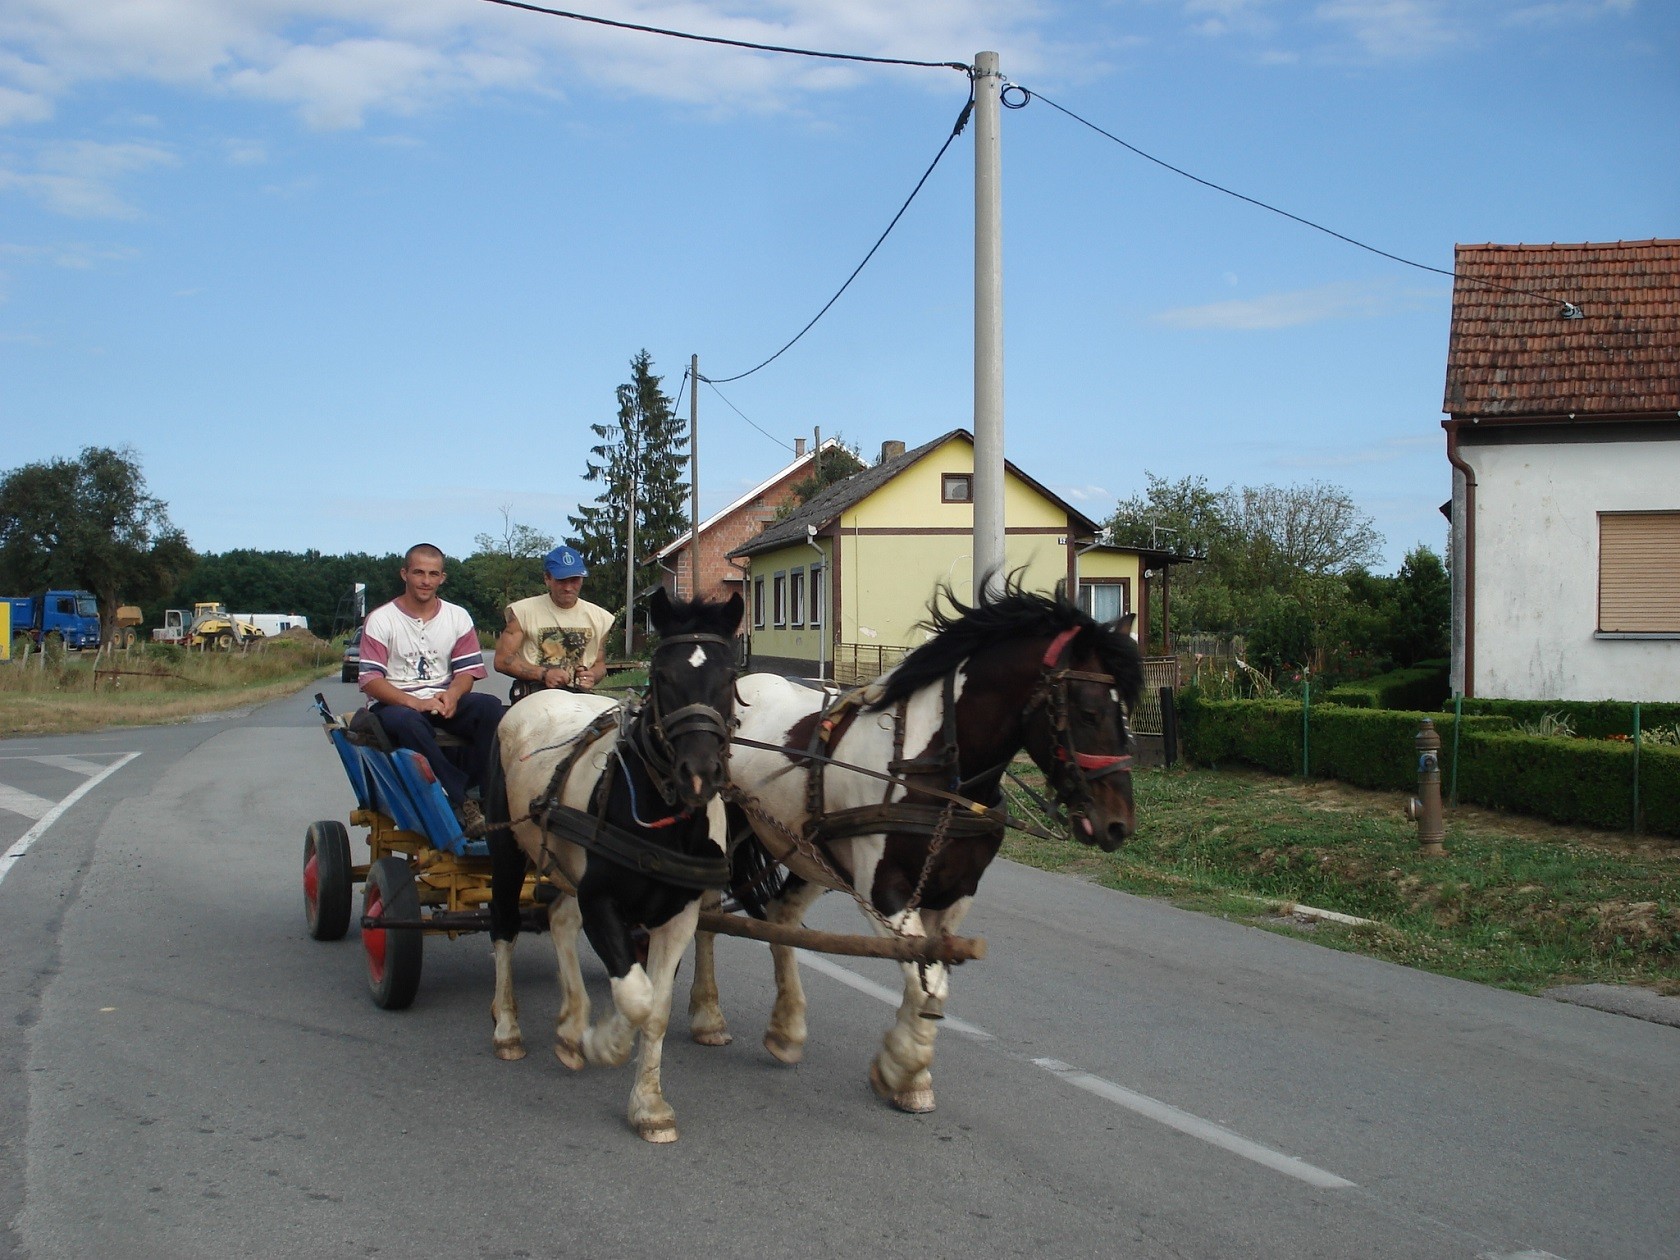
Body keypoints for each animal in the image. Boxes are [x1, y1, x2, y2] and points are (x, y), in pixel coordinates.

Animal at [487, 585, 743, 1142]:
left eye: (730, 677)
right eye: (662, 676)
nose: (699, 773)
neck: (663, 817)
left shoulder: (679, 914)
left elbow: (656, 1007)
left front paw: (648, 1105)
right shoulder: (601, 900)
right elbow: (635, 995)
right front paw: (606, 1042)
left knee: (560, 921)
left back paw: (568, 1026)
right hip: (506, 851)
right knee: (504, 928)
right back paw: (508, 1028)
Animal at [689, 578, 1141, 1114]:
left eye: (1126, 713)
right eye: (1089, 712)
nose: (1118, 824)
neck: (933, 772)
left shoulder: (954, 895)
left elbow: (931, 976)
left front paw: (910, 1077)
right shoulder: (883, 891)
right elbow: (926, 980)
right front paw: (901, 1068)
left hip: (810, 850)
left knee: (780, 916)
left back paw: (786, 1030)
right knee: (705, 916)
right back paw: (708, 1017)